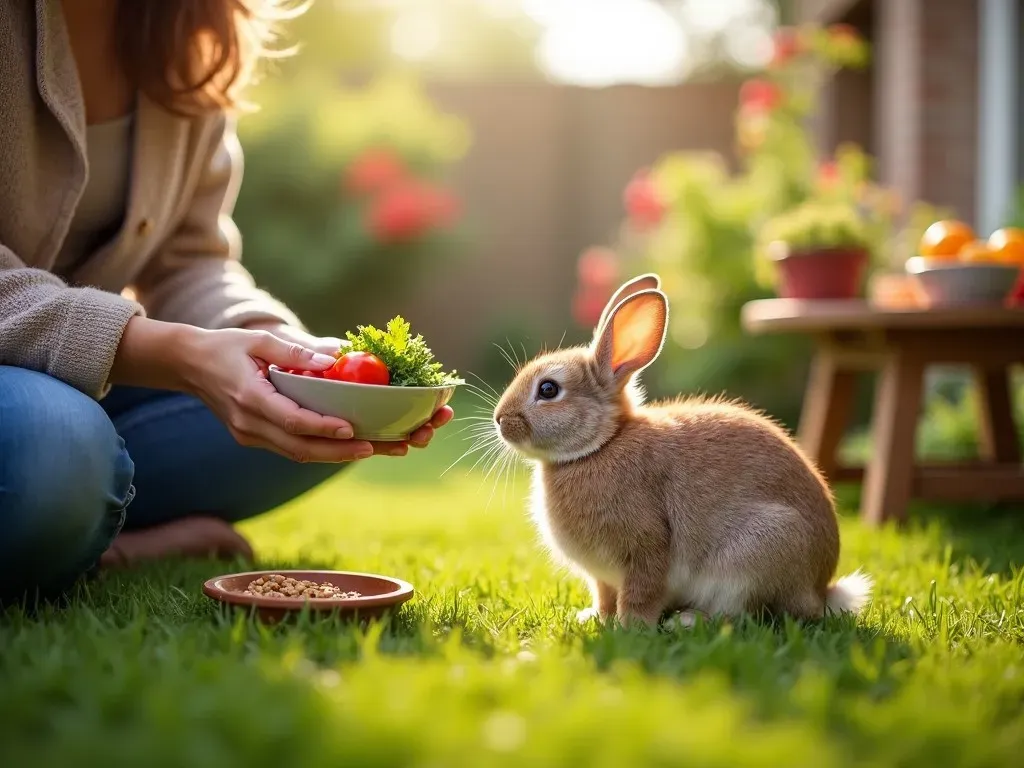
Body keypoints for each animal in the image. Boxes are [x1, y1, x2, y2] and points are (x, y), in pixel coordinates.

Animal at [495, 274, 872, 626]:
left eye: (548, 389)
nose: (500, 419)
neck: (600, 445)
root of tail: (819, 590)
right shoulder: (603, 577)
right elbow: (604, 595)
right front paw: (596, 617)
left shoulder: (646, 547)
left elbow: (641, 593)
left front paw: (630, 626)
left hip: (755, 557)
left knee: (742, 614)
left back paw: (687, 621)